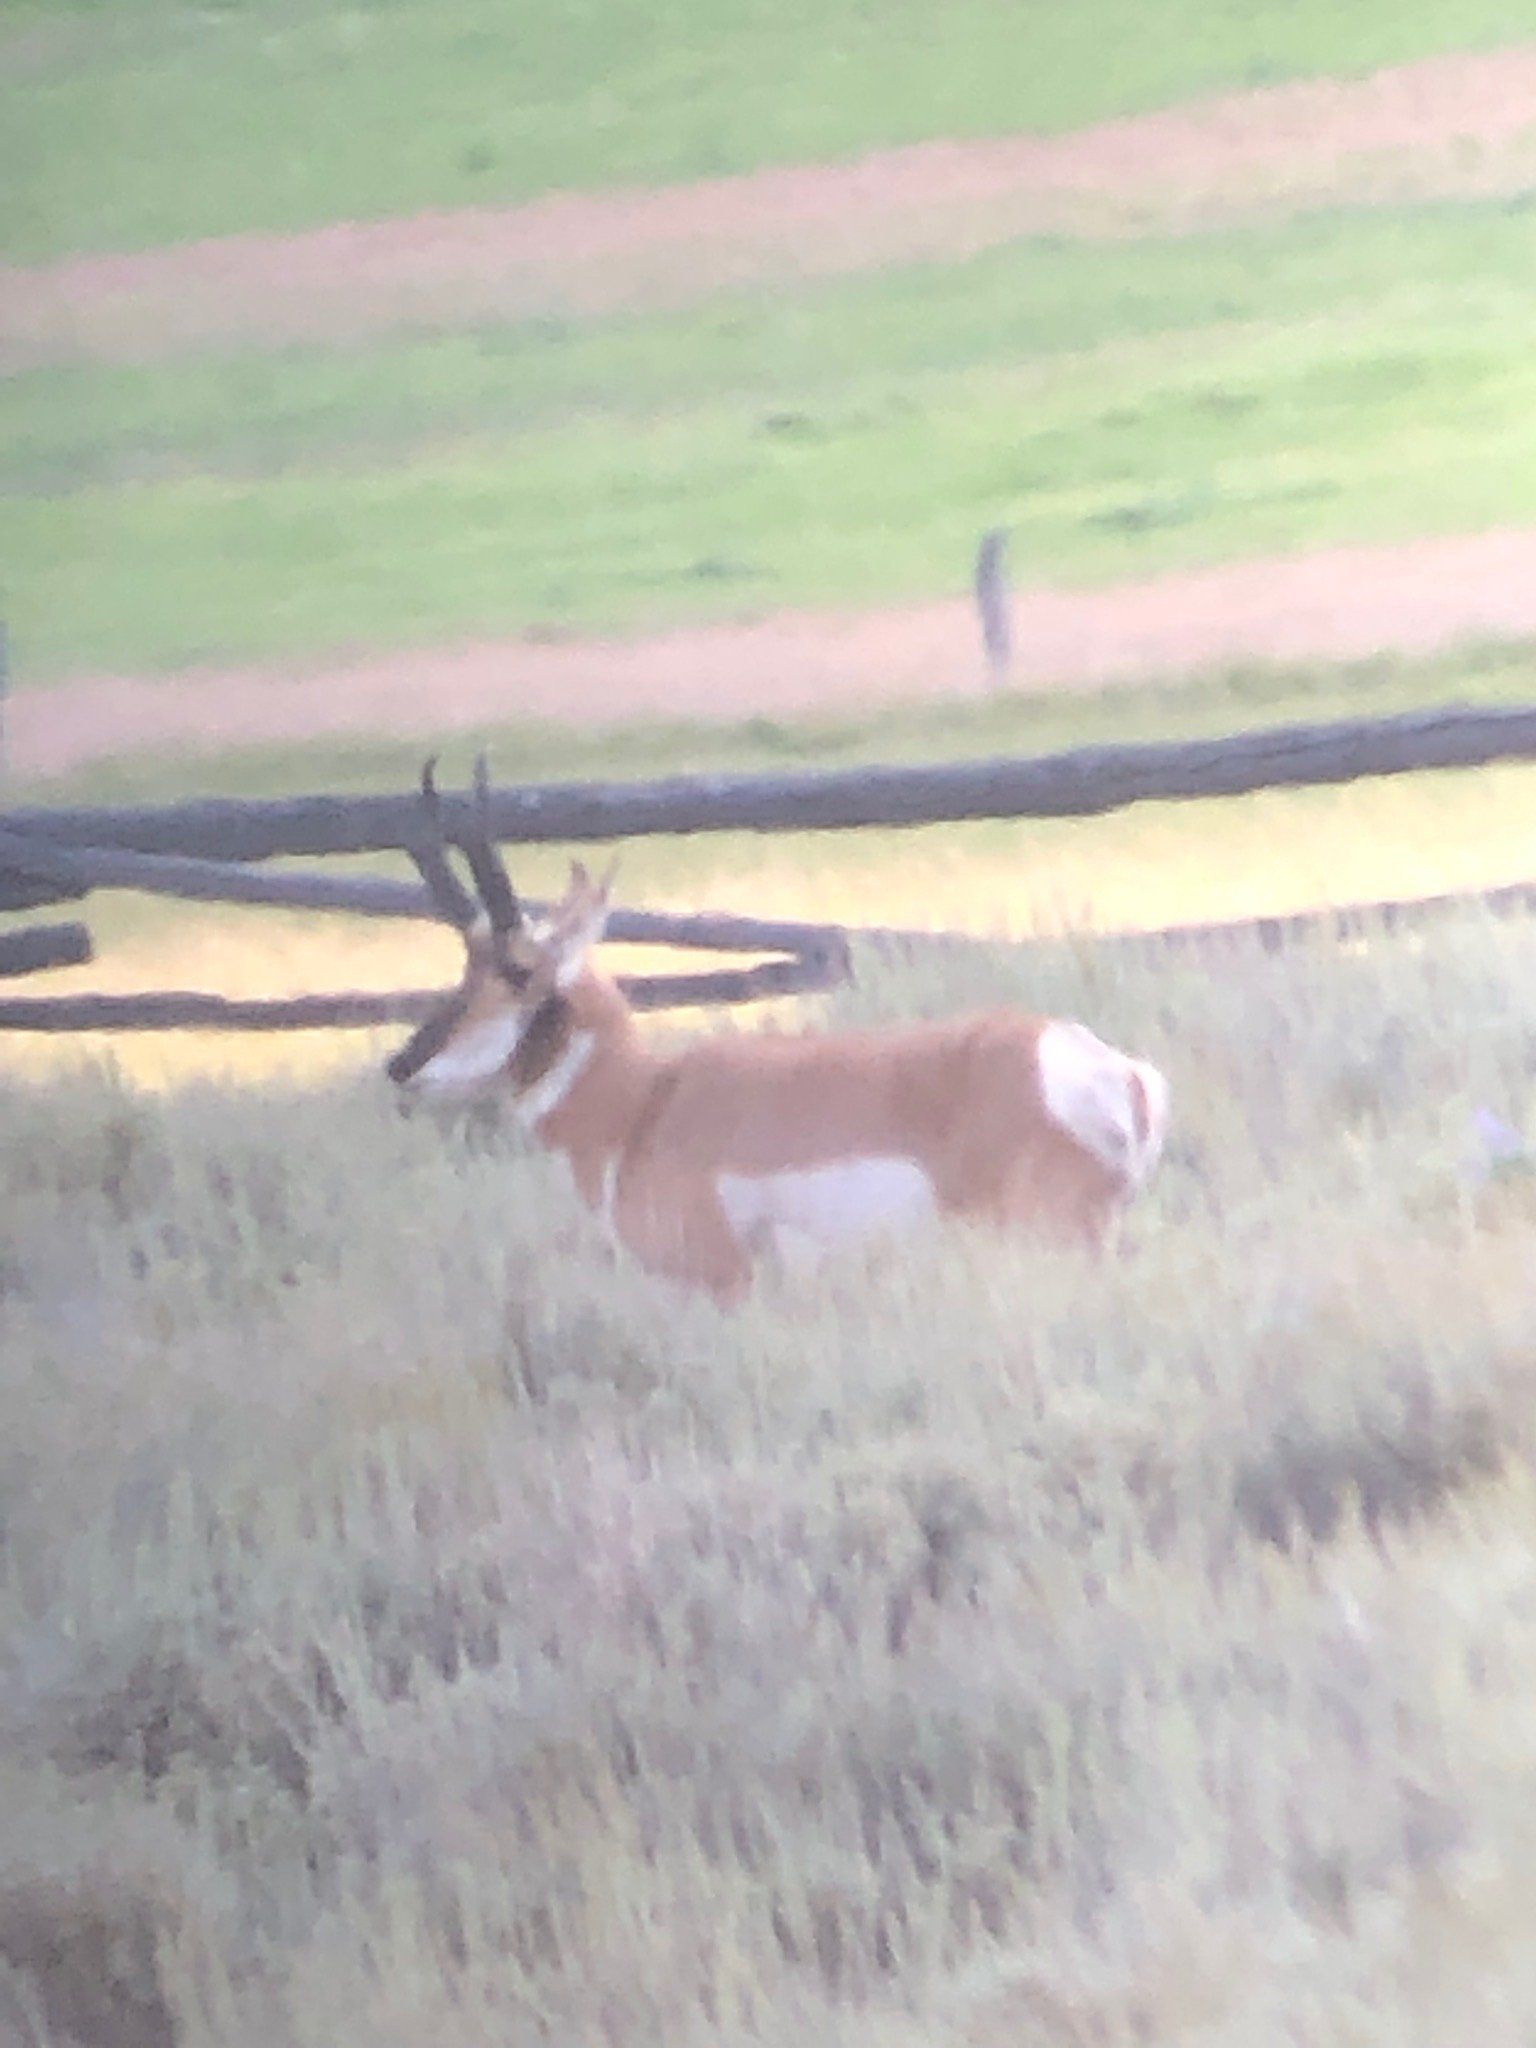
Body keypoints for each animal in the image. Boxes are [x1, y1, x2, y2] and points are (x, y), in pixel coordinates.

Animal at [386, 761, 1169, 1303]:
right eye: (466, 961)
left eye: (516, 970)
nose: (401, 1066)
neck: (642, 1103)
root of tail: (1102, 1067)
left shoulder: (724, 1285)